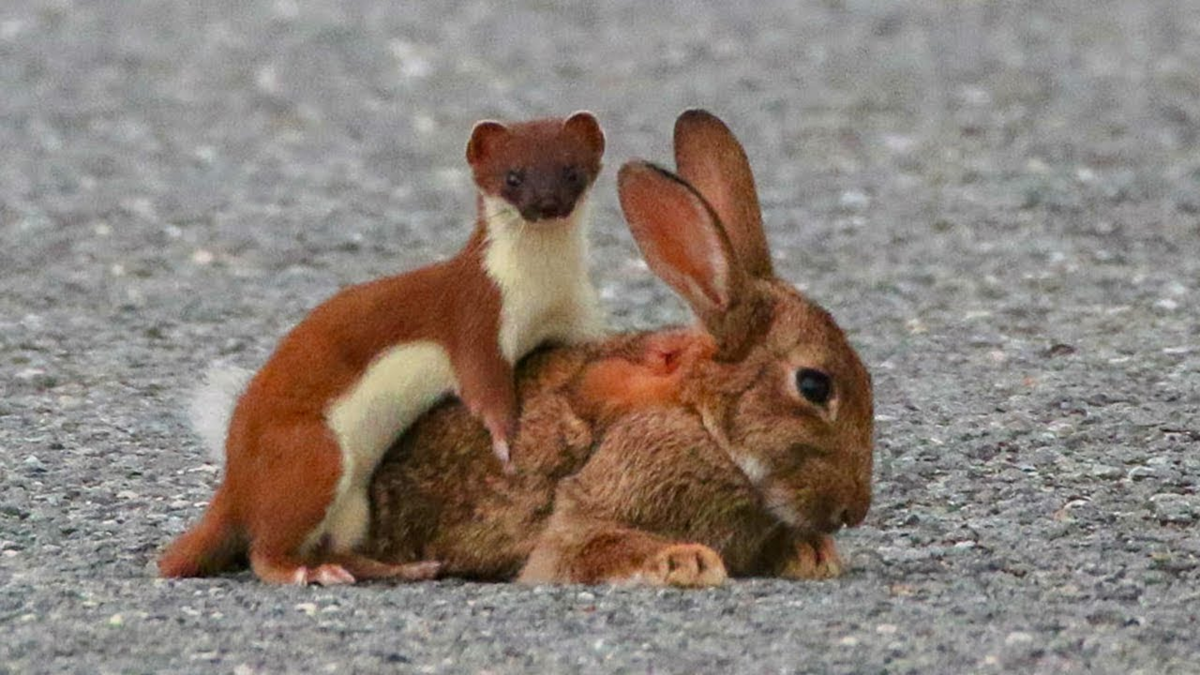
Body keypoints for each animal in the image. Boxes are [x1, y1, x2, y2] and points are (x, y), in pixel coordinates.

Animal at [157, 111, 609, 583]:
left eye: (571, 170)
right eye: (513, 176)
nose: (548, 203)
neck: (542, 292)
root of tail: (236, 473)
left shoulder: (578, 314)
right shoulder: (477, 319)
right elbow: (484, 388)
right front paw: (505, 444)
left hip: (356, 502)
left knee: (338, 543)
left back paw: (403, 567)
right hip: (311, 452)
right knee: (266, 547)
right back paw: (308, 573)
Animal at [364, 109, 873, 583]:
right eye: (814, 385)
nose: (854, 510)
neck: (702, 418)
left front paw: (813, 555)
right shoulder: (580, 520)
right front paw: (687, 562)